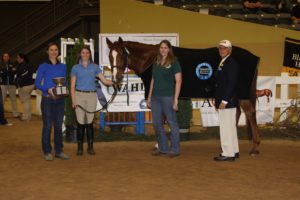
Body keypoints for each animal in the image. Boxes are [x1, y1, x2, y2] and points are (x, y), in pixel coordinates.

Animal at [107, 37, 260, 156]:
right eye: (110, 56)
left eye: (121, 54)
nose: (115, 79)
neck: (151, 59)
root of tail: (254, 57)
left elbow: (163, 120)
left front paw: (159, 145)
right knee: (237, 112)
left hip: (241, 94)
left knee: (250, 113)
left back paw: (254, 148)